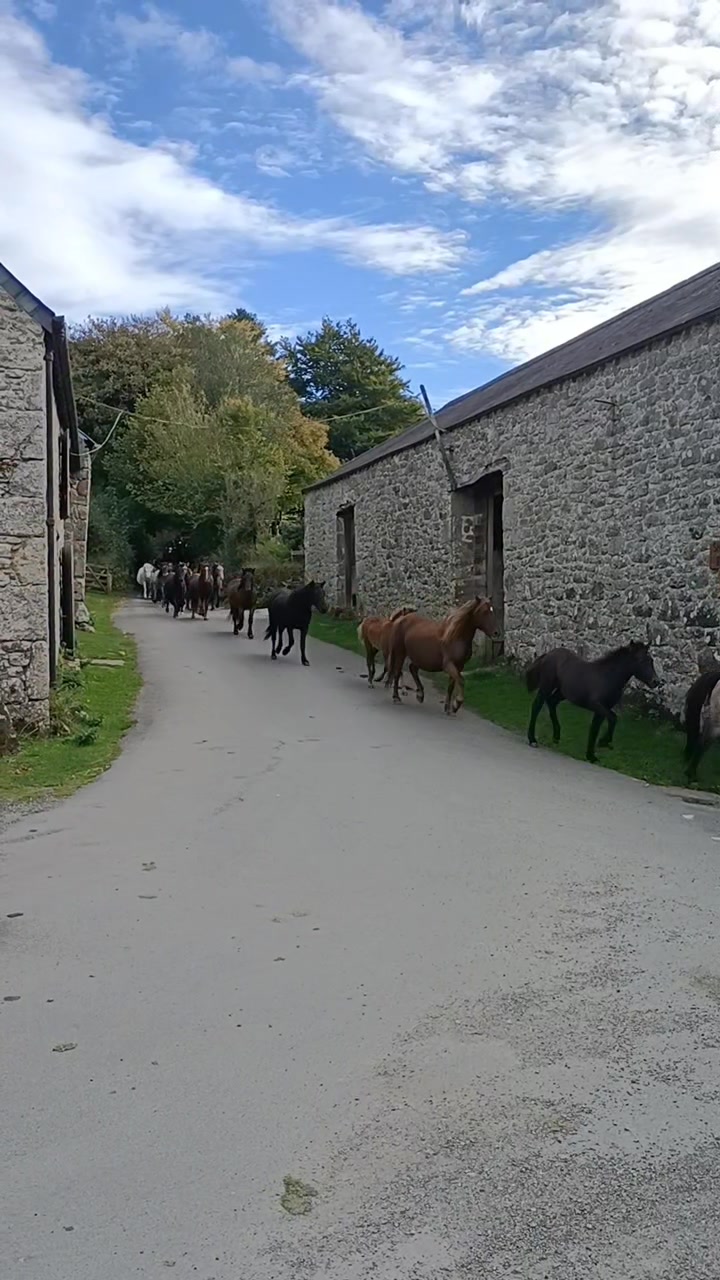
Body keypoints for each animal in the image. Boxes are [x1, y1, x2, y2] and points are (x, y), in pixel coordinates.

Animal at [526, 640, 659, 762]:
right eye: (640, 660)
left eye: (651, 660)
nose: (655, 681)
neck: (608, 677)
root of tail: (548, 654)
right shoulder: (596, 705)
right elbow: (613, 718)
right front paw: (604, 742)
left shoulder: (602, 709)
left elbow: (595, 729)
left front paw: (591, 756)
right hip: (546, 686)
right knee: (537, 706)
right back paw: (532, 739)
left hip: (561, 692)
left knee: (551, 702)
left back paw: (556, 736)